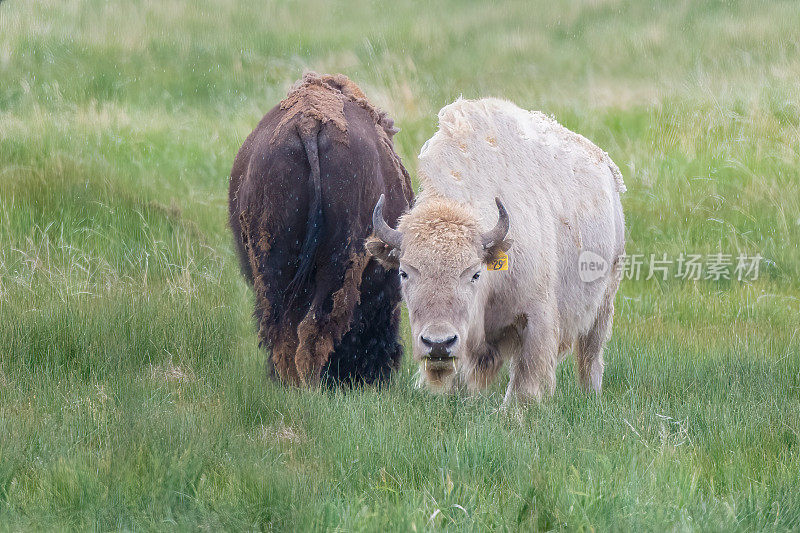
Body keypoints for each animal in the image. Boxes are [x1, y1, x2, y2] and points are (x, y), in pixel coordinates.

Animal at [227, 72, 410, 384]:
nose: (383, 372)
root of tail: (309, 124)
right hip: (338, 262)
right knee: (313, 328)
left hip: (272, 263)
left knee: (283, 330)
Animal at [368, 97, 624, 402]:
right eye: (404, 273)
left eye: (474, 274)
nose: (438, 343)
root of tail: (606, 166)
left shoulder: (535, 319)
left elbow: (525, 381)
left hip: (604, 303)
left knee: (590, 355)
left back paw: (591, 395)